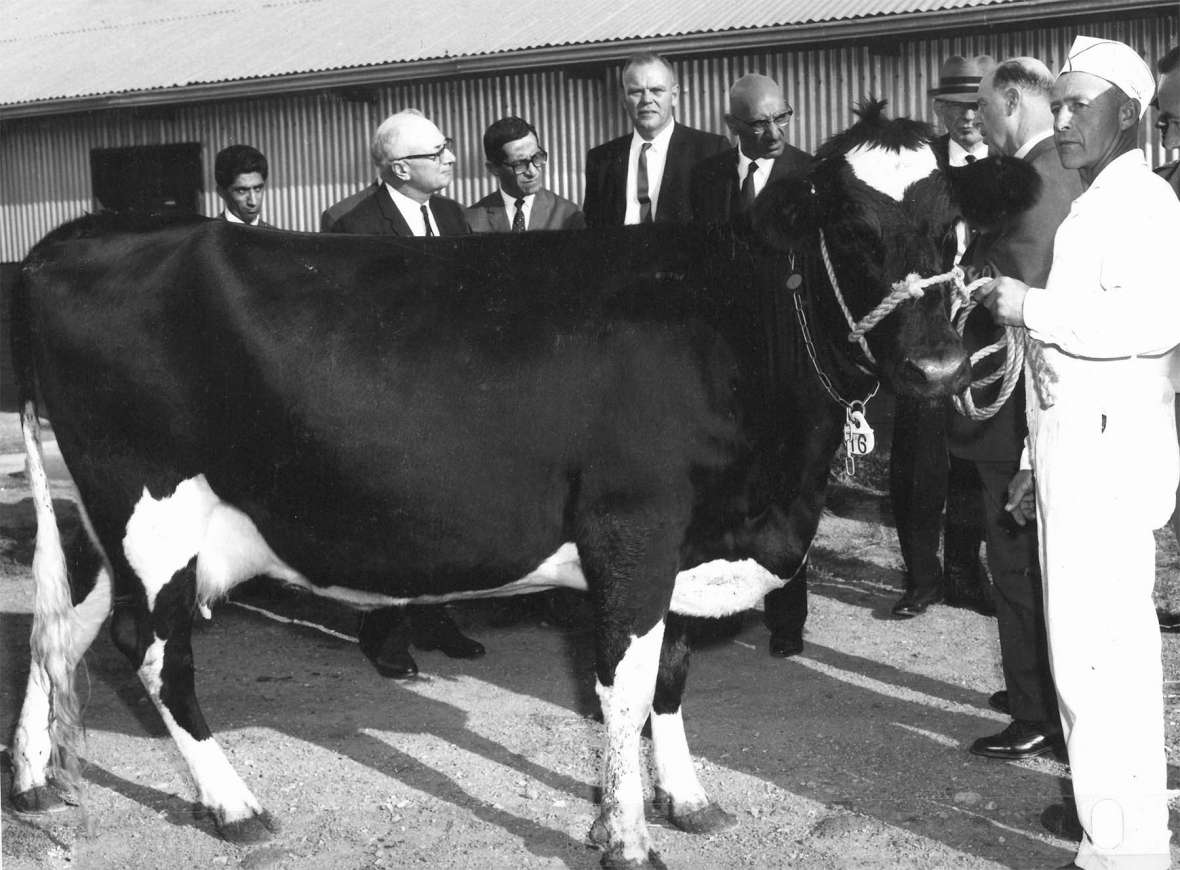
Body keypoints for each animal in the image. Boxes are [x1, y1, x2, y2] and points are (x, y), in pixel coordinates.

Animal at [9, 105, 1028, 864]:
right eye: (850, 230)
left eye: (954, 232)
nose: (940, 366)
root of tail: (78, 238)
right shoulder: (634, 530)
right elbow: (625, 686)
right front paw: (625, 836)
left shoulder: (693, 542)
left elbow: (673, 676)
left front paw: (685, 796)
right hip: (151, 508)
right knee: (151, 652)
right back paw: (233, 805)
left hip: (108, 524)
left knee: (58, 634)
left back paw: (32, 781)